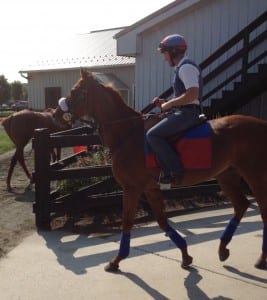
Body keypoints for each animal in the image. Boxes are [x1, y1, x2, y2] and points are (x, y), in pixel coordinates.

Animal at [53, 70, 266, 272]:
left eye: (75, 91)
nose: (55, 114)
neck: (129, 134)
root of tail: (261, 124)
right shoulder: (151, 189)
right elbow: (162, 221)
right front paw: (185, 255)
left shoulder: (132, 188)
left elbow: (127, 221)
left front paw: (116, 261)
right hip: (226, 175)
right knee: (241, 205)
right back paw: (223, 248)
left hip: (255, 176)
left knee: (262, 211)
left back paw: (261, 258)